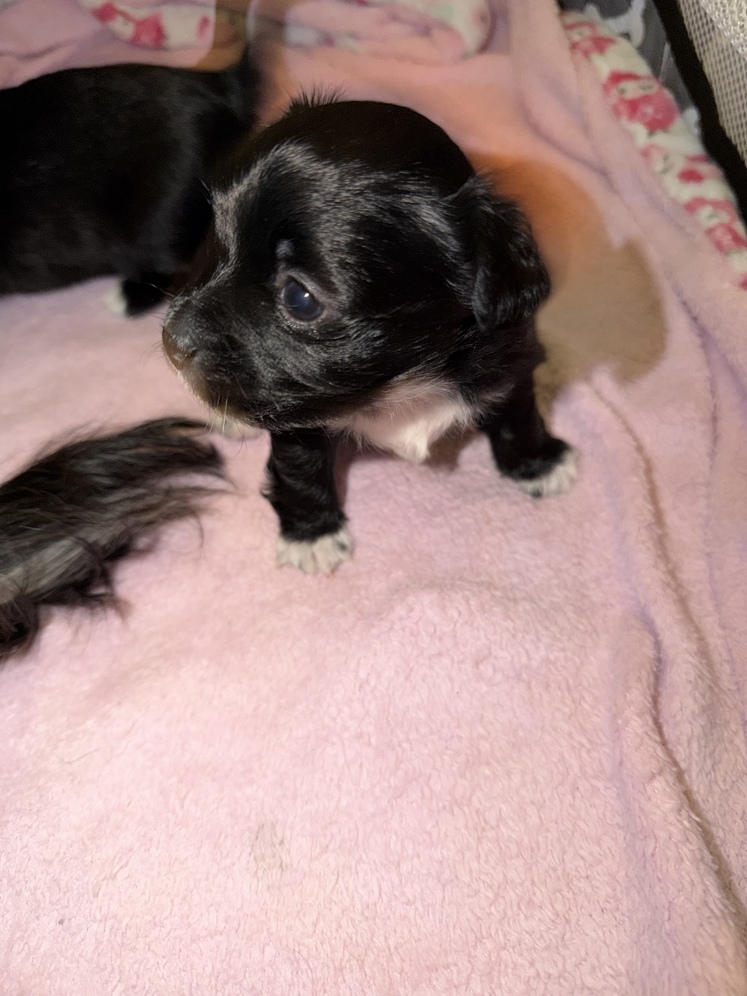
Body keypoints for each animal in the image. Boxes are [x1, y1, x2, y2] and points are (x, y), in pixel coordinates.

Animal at [0, 97, 576, 661]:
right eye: (217, 242)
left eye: (299, 297)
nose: (172, 340)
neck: (398, 382)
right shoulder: (299, 415)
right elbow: (300, 472)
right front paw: (312, 536)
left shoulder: (505, 356)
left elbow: (517, 413)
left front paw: (538, 463)